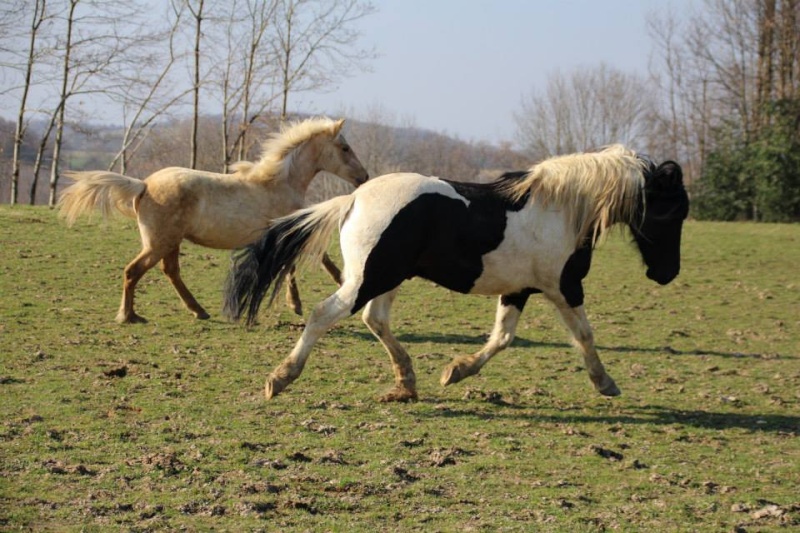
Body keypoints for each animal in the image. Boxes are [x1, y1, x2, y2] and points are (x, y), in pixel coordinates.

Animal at [60, 117, 368, 322]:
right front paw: (306, 300)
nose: (363, 177)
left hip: (170, 242)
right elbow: (304, 263)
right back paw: (129, 316)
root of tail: (143, 185)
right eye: (344, 148)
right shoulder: (288, 233)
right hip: (159, 243)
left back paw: (199, 311)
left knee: (169, 271)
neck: (279, 183)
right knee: (133, 271)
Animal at [223, 143, 688, 402]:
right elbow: (585, 335)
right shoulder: (564, 288)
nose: (667, 274)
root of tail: (353, 198)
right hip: (368, 279)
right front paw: (606, 383)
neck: (560, 209)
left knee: (376, 320)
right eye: (673, 210)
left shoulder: (520, 290)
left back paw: (407, 383)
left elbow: (502, 338)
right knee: (324, 315)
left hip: (387, 279)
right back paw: (280, 379)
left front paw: (455, 371)